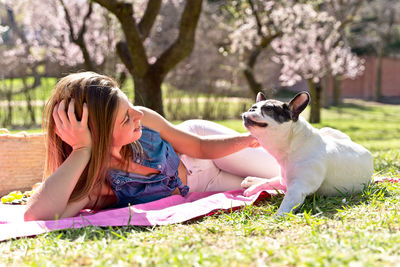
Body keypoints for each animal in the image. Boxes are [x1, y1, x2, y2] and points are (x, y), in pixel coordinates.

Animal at [241, 92, 376, 216]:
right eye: (253, 107)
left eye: (268, 109)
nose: (251, 109)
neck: (293, 145)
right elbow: (268, 182)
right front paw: (254, 187)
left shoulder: (297, 189)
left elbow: (285, 206)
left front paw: (275, 218)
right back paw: (251, 181)